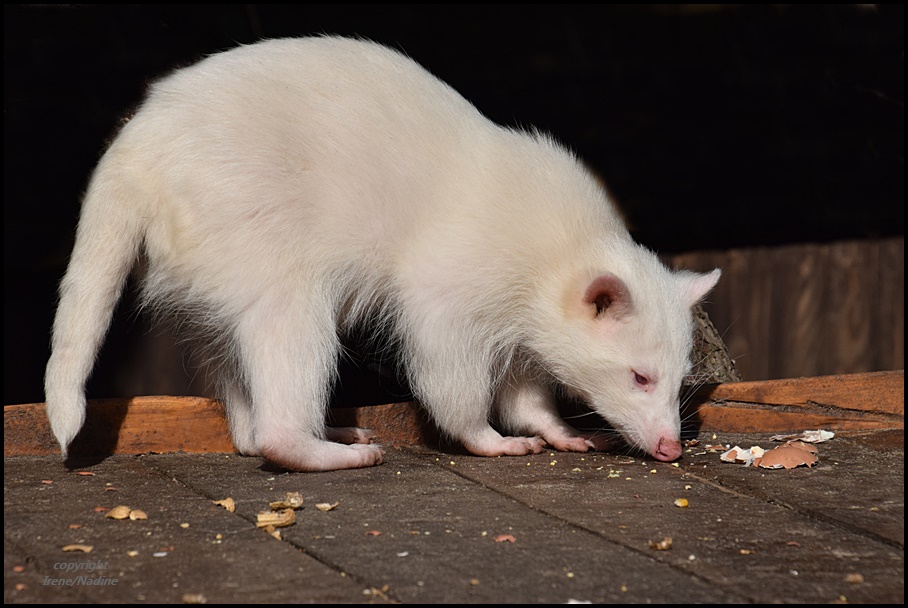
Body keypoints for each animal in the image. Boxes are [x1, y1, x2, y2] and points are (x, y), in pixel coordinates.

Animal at [46, 36, 720, 470]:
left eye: (675, 376)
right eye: (639, 376)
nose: (670, 447)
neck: (570, 248)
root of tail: (134, 152)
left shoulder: (525, 310)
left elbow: (523, 377)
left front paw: (547, 422)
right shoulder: (463, 270)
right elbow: (444, 354)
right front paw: (481, 433)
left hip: (202, 256)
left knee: (227, 347)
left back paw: (263, 428)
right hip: (240, 220)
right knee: (288, 324)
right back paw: (296, 441)